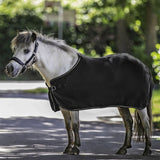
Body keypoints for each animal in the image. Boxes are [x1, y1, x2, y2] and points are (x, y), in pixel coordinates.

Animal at [5, 30, 154, 156]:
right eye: (15, 49)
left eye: (26, 50)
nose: (9, 69)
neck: (61, 68)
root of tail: (144, 66)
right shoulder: (64, 106)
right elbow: (68, 126)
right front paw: (68, 148)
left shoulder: (73, 105)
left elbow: (75, 125)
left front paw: (75, 148)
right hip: (122, 104)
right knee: (128, 122)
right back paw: (123, 149)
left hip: (139, 105)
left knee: (146, 123)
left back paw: (147, 150)